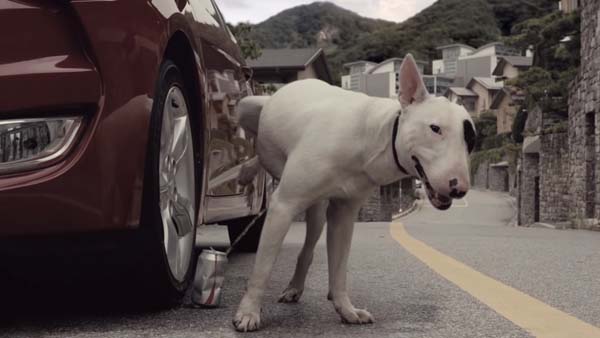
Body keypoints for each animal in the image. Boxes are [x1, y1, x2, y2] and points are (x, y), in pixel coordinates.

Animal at [232, 54, 476, 332]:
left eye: (471, 141)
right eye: (435, 128)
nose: (459, 188)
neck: (369, 137)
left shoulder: (344, 213)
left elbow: (339, 269)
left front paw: (346, 310)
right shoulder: (283, 206)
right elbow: (262, 267)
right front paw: (249, 312)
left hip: (317, 211)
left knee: (308, 246)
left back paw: (296, 287)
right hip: (247, 108)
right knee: (257, 147)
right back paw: (246, 171)